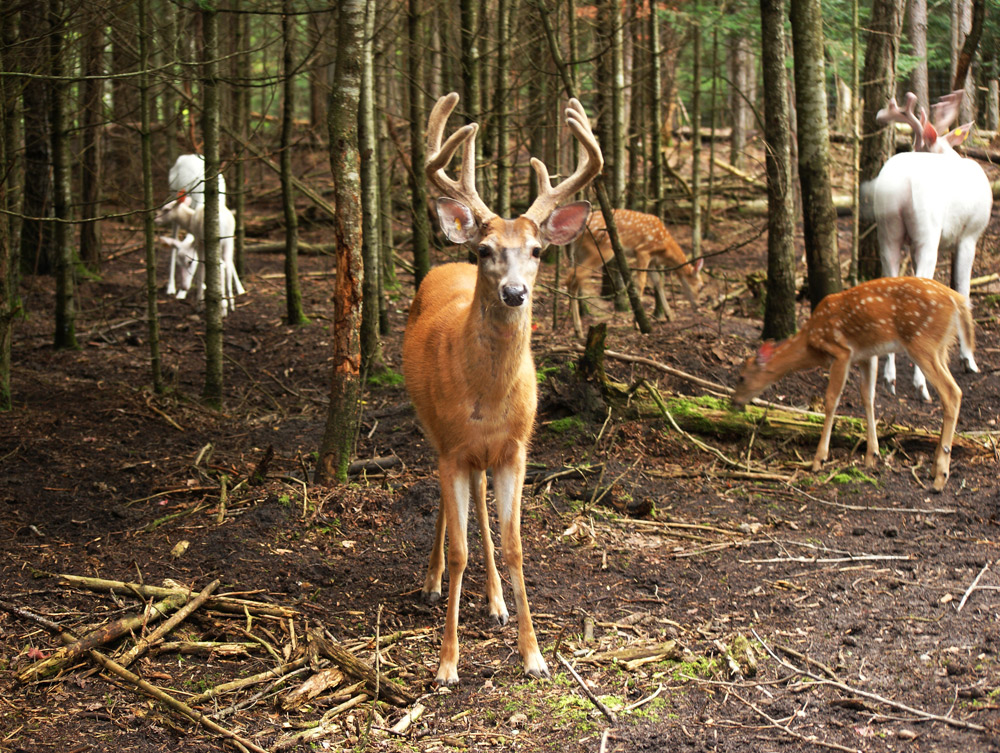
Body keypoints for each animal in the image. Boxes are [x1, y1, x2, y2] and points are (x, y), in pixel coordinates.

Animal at [402, 92, 604, 680]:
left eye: (537, 250)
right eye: (486, 250)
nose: (515, 292)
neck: (488, 399)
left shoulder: (517, 448)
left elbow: (514, 545)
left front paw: (533, 654)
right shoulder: (452, 447)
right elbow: (460, 549)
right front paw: (446, 663)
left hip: (485, 457)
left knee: (481, 510)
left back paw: (494, 603)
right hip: (432, 429)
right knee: (453, 510)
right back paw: (430, 583)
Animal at [568, 206, 708, 334]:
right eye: (701, 286)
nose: (698, 305)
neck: (664, 247)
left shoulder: (652, 261)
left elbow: (658, 282)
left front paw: (670, 315)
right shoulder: (643, 251)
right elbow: (641, 283)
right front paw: (638, 324)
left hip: (580, 253)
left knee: (572, 277)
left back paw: (577, 328)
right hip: (601, 249)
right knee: (576, 277)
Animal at [732, 276, 972, 494]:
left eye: (742, 377)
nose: (735, 400)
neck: (810, 341)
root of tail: (958, 300)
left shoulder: (841, 352)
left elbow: (831, 400)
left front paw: (819, 460)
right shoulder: (867, 355)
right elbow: (868, 396)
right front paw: (871, 455)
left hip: (922, 342)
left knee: (952, 392)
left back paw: (940, 478)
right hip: (941, 348)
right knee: (951, 392)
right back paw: (932, 470)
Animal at [872, 91, 988, 400]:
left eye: (919, 142)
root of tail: (898, 184)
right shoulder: (970, 233)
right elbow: (964, 290)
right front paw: (969, 360)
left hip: (887, 231)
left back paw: (890, 379)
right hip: (928, 232)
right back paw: (921, 384)